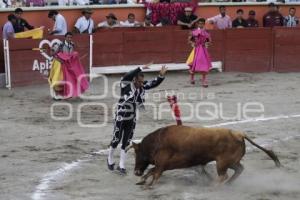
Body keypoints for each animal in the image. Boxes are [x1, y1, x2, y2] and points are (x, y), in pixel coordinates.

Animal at [127, 125, 282, 188]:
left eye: (137, 154)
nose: (136, 172)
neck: (157, 141)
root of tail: (239, 134)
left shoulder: (162, 165)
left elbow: (154, 174)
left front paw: (148, 184)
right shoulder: (164, 166)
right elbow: (151, 171)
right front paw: (142, 180)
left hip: (222, 163)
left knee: (223, 175)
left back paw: (213, 186)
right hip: (230, 162)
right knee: (239, 169)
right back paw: (228, 184)